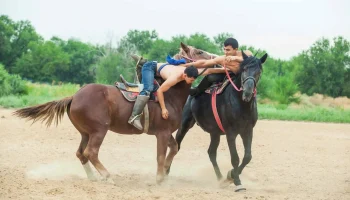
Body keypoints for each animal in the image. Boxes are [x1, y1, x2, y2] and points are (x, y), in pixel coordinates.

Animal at [13, 43, 215, 184]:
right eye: (198, 52)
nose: (214, 57)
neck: (169, 93)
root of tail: (74, 96)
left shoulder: (167, 134)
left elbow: (173, 149)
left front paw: (164, 174)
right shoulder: (162, 133)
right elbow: (160, 155)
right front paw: (159, 178)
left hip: (85, 133)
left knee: (81, 153)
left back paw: (93, 178)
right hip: (99, 130)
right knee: (91, 152)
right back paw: (108, 176)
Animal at [171, 51, 266, 191]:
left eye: (259, 72)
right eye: (244, 69)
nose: (248, 92)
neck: (240, 104)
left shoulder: (247, 131)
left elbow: (247, 157)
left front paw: (230, 176)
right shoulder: (230, 133)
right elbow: (235, 158)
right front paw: (237, 181)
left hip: (214, 133)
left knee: (211, 153)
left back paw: (221, 178)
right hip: (184, 125)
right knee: (176, 145)